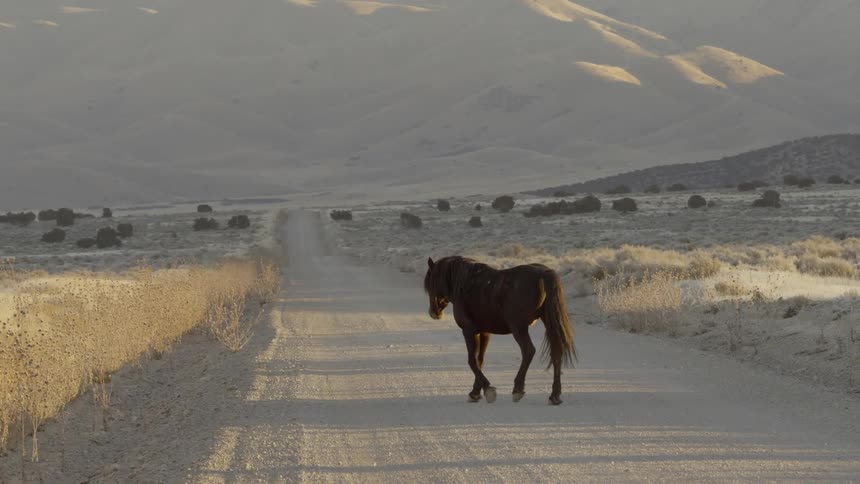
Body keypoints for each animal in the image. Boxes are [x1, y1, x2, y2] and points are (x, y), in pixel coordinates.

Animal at [424, 256, 577, 405]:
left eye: (431, 282)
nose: (433, 312)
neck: (465, 284)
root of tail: (543, 273)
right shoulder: (484, 332)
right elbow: (480, 360)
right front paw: (475, 392)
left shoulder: (468, 331)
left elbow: (472, 361)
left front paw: (487, 389)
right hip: (548, 323)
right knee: (556, 353)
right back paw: (554, 395)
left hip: (519, 328)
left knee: (528, 351)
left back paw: (518, 389)